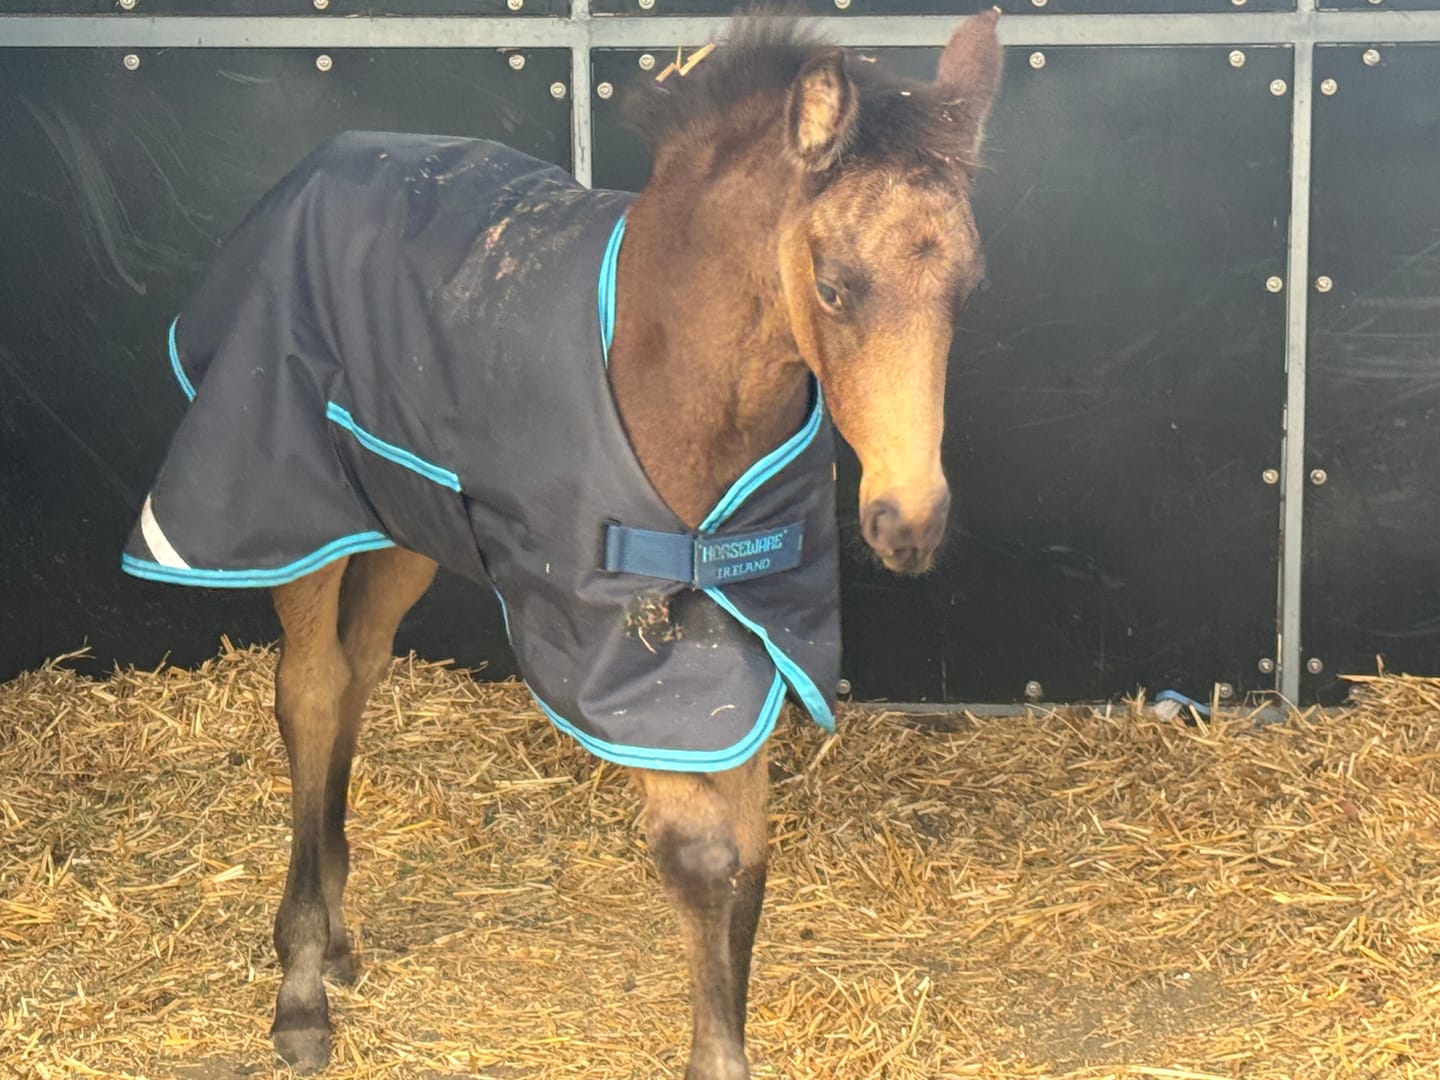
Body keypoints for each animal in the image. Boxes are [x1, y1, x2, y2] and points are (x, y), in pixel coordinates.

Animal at [121, 10, 1003, 1077]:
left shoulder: (745, 631)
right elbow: (698, 854)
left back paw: (333, 936)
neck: (666, 372)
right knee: (311, 692)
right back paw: (299, 985)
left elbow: (746, 858)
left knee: (360, 670)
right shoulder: (617, 648)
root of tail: (318, 162)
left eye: (969, 285)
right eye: (834, 289)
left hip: (406, 518)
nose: (910, 522)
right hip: (290, 502)